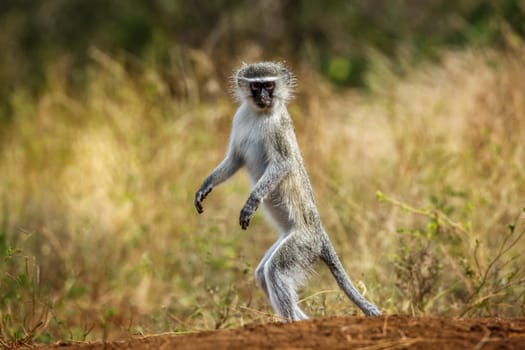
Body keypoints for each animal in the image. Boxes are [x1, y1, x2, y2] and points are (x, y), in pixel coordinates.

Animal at [194, 62, 378, 320]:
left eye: (269, 85)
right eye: (256, 86)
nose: (263, 97)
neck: (258, 115)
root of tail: (318, 233)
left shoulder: (278, 130)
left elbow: (283, 164)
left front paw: (252, 201)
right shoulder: (239, 118)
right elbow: (234, 159)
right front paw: (205, 186)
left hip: (302, 244)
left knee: (275, 271)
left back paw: (291, 321)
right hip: (289, 239)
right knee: (263, 273)